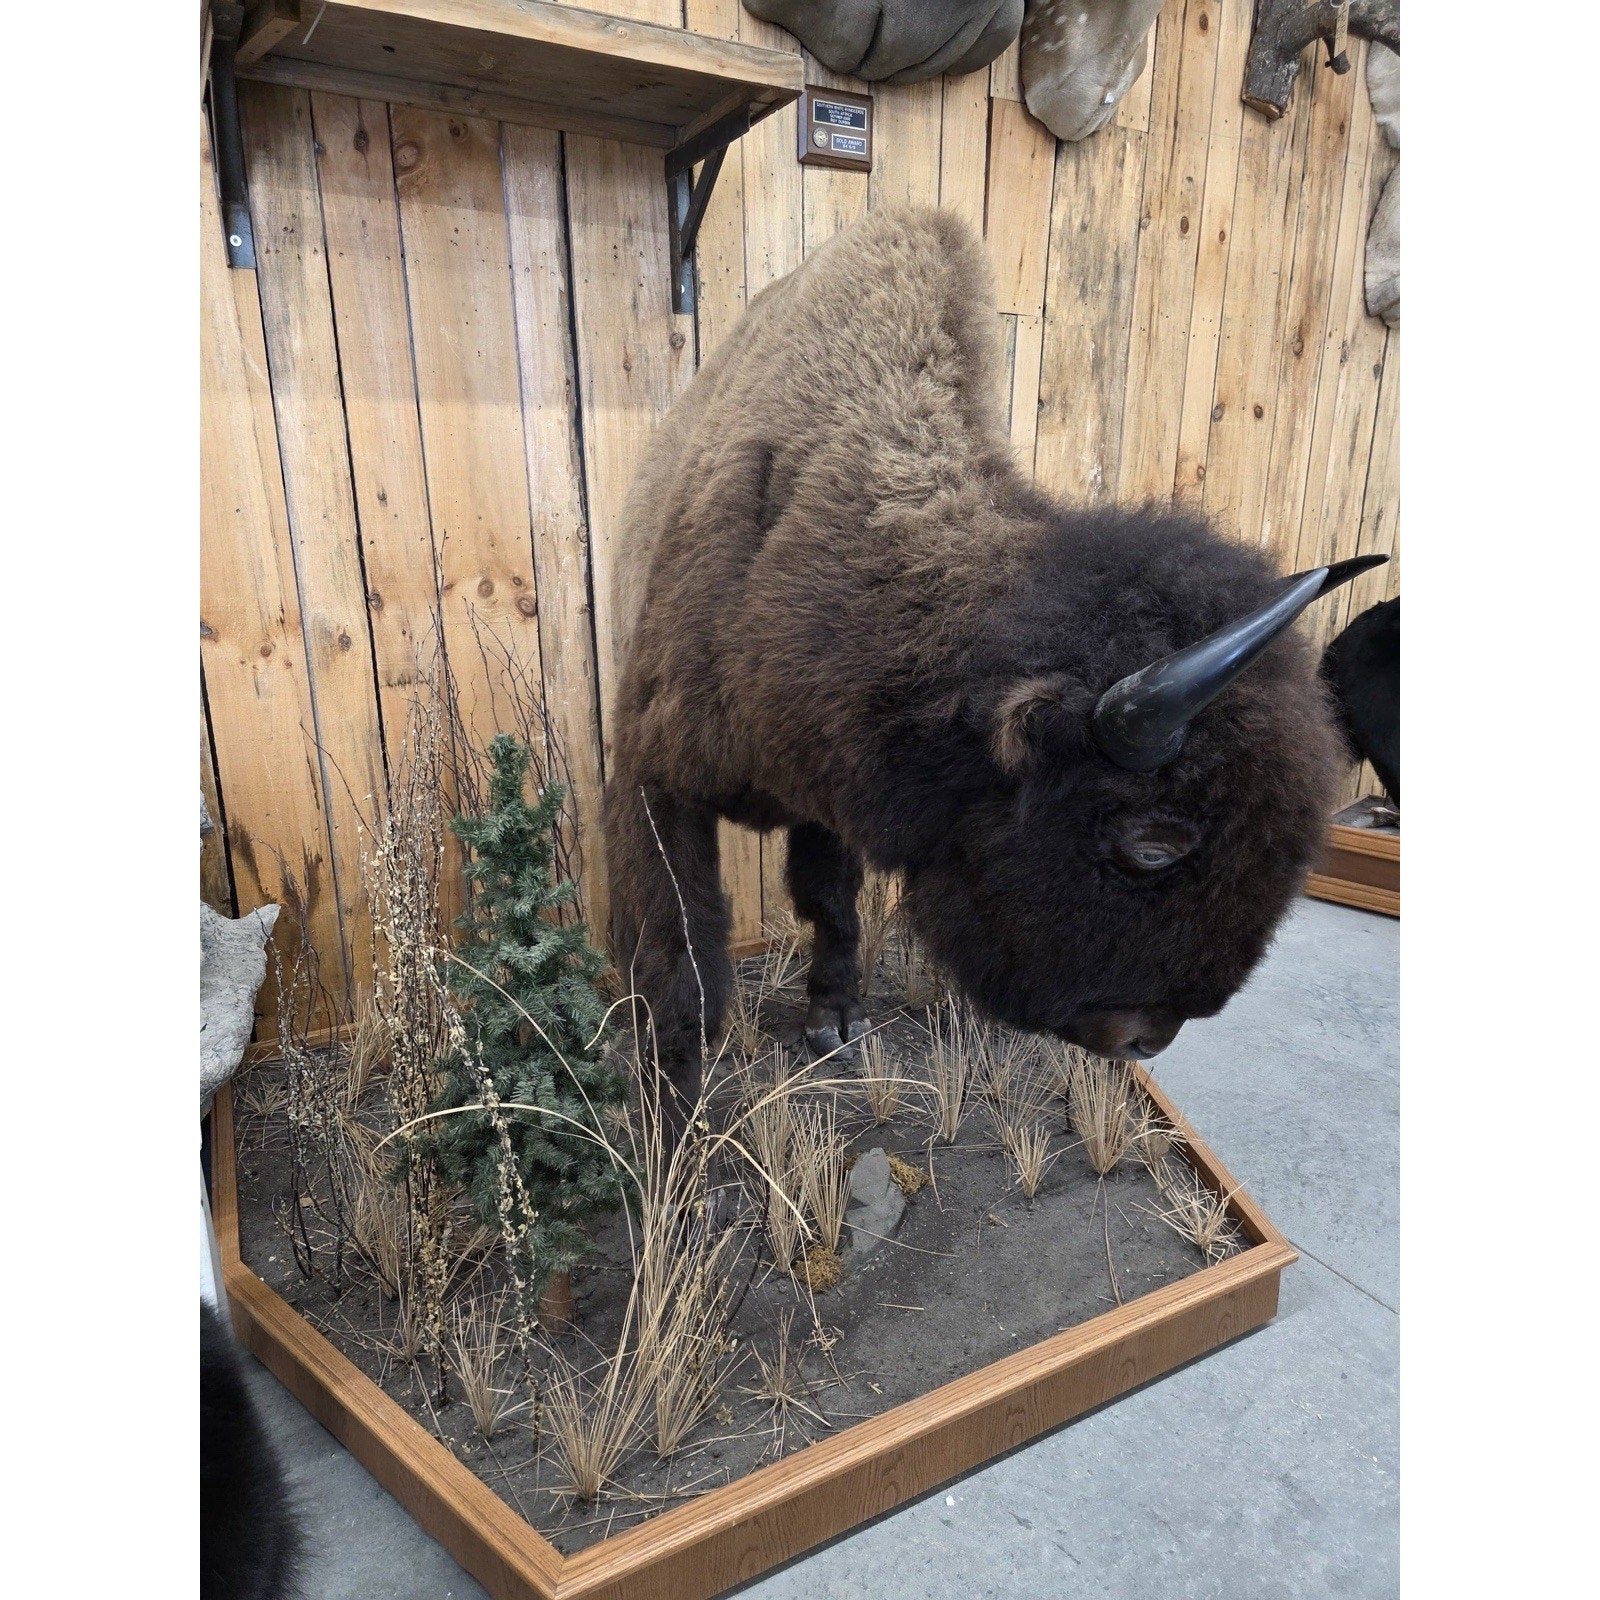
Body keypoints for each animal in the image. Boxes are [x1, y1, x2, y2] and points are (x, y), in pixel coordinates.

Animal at [602, 207, 1380, 1142]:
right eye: (1150, 846)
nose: (1145, 1039)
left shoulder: (831, 792)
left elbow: (830, 898)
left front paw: (835, 1024)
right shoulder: (656, 779)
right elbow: (679, 954)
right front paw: (671, 1120)